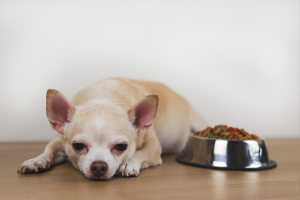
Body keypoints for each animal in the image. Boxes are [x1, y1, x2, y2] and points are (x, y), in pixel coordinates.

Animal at [17, 77, 207, 180]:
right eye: (78, 146)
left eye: (121, 147)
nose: (98, 166)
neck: (104, 99)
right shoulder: (60, 140)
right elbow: (48, 149)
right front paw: (36, 161)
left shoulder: (154, 149)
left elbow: (141, 153)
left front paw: (129, 164)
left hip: (199, 124)